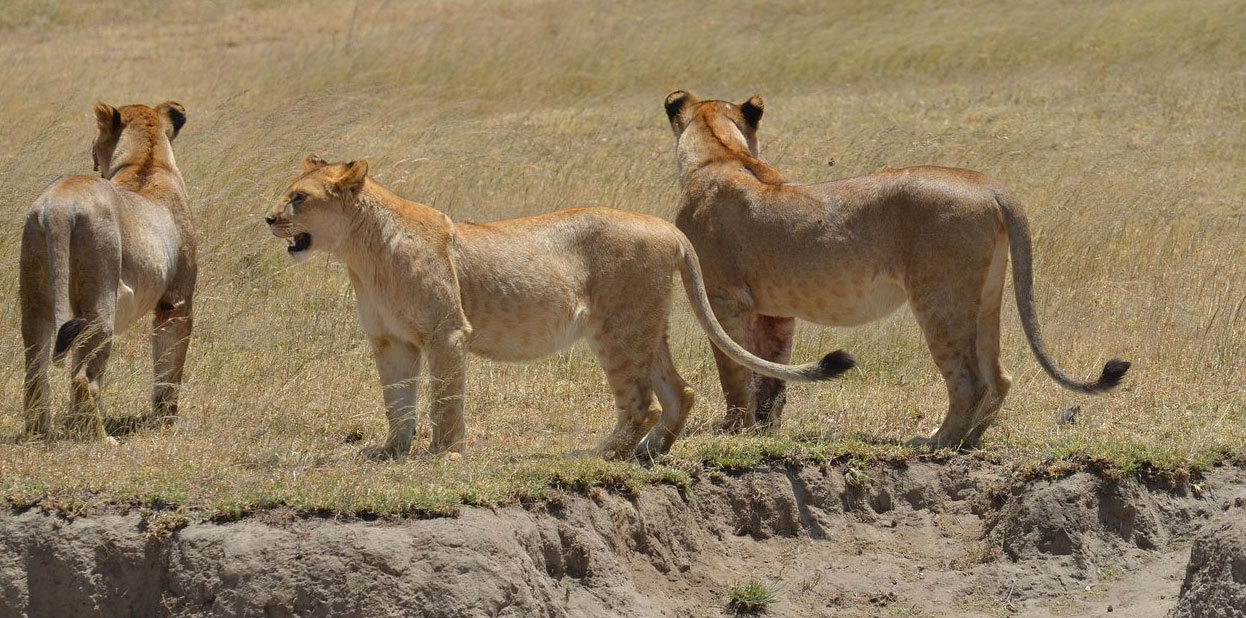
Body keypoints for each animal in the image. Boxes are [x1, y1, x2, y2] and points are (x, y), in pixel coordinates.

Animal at [20, 100, 196, 438]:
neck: (145, 163)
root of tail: (59, 206)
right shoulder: (177, 302)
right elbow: (170, 368)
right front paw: (166, 423)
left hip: (35, 298)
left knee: (36, 371)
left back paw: (42, 433)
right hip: (100, 303)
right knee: (82, 378)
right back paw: (100, 439)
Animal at [259, 156, 852, 461]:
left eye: (299, 198)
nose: (267, 218)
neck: (361, 255)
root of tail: (668, 228)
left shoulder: (446, 331)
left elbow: (444, 399)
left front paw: (445, 453)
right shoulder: (391, 343)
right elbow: (397, 402)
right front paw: (390, 452)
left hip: (614, 329)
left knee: (642, 402)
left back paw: (601, 453)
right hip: (642, 326)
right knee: (678, 392)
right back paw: (648, 451)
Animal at [662, 90, 1131, 448]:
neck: (720, 153)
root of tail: (991, 185)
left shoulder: (724, 297)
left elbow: (733, 366)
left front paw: (732, 428)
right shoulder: (774, 311)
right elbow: (769, 372)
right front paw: (764, 429)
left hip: (938, 297)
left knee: (970, 379)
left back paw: (938, 441)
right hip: (985, 296)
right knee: (999, 376)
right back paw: (970, 440)